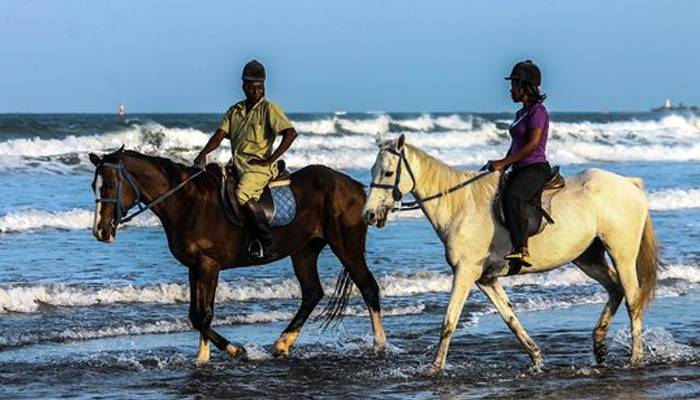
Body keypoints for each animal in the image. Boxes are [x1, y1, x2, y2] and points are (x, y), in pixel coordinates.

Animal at [89, 148, 386, 366]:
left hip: (347, 248)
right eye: (94, 185)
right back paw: (282, 344)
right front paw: (211, 356)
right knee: (312, 292)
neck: (187, 203)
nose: (101, 231)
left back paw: (379, 345)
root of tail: (354, 185)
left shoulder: (209, 265)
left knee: (368, 288)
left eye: (112, 184)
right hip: (304, 251)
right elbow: (195, 315)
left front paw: (226, 353)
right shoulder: (195, 267)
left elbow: (204, 315)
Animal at [364, 134, 660, 372]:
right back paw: (598, 344)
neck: (460, 206)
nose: (369, 215)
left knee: (633, 300)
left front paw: (434, 368)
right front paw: (537, 359)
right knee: (614, 288)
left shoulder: (465, 273)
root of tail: (629, 184)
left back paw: (635, 359)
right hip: (587, 257)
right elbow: (510, 319)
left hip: (621, 254)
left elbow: (448, 321)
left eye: (388, 173)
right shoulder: (486, 279)